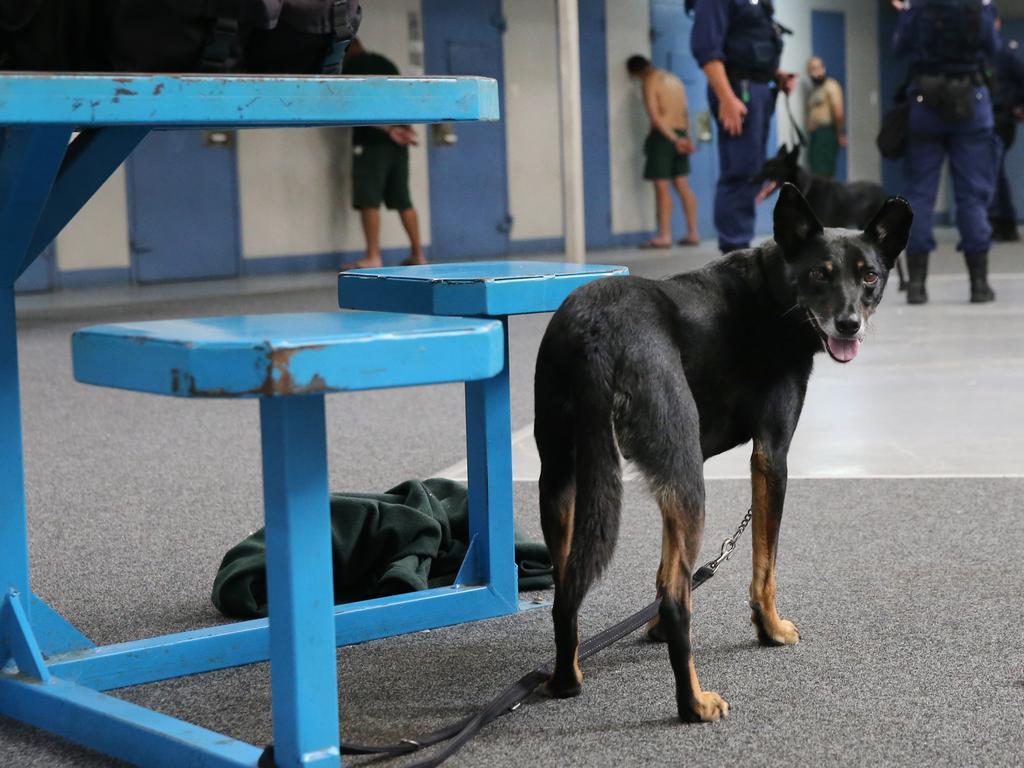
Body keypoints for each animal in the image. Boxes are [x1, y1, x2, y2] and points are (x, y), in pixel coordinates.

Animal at [536, 185, 913, 720]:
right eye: (819, 273)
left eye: (870, 276)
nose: (848, 324)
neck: (776, 292)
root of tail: (596, 333)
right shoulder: (770, 457)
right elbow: (764, 566)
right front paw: (770, 629)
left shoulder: (672, 479)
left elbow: (663, 571)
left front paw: (651, 628)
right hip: (685, 477)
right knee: (679, 601)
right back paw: (693, 703)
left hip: (563, 478)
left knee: (566, 592)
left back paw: (565, 678)